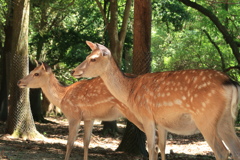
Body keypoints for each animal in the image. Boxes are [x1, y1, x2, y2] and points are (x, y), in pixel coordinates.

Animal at [72, 40, 240, 159]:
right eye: (87, 56)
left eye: (93, 59)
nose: (74, 71)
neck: (130, 91)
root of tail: (231, 83)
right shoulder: (161, 122)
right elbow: (161, 147)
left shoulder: (147, 116)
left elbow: (152, 149)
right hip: (226, 119)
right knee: (235, 148)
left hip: (205, 117)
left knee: (222, 151)